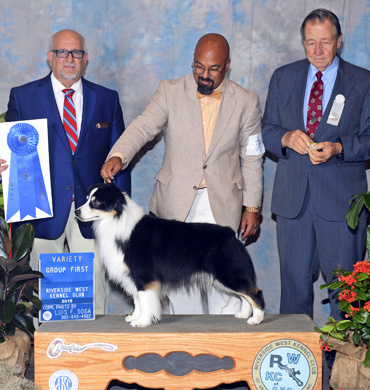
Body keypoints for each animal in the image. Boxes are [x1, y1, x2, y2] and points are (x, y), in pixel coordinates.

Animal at [75, 184, 264, 328]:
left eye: (96, 201)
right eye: (87, 198)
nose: (76, 212)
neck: (117, 221)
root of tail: (230, 233)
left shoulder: (144, 276)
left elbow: (145, 299)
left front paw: (142, 322)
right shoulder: (133, 276)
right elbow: (137, 299)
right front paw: (135, 317)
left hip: (228, 272)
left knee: (255, 293)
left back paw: (256, 319)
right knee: (244, 294)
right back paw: (243, 314)